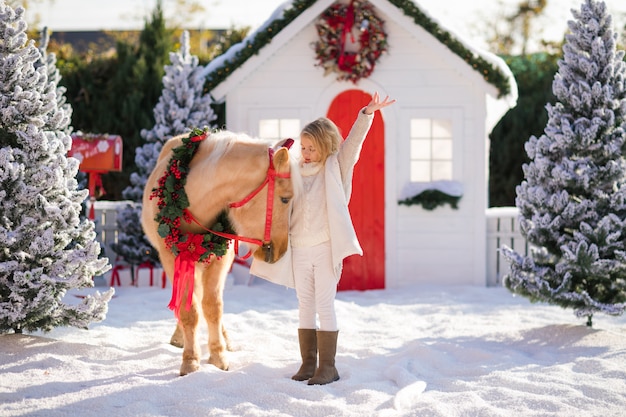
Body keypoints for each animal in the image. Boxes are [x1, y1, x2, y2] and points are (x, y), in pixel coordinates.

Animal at [141, 128, 298, 376]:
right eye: (285, 199)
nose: (281, 250)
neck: (190, 198)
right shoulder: (172, 258)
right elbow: (189, 310)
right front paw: (191, 359)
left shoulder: (220, 259)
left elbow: (213, 307)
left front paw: (217, 355)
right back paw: (180, 337)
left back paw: (225, 340)